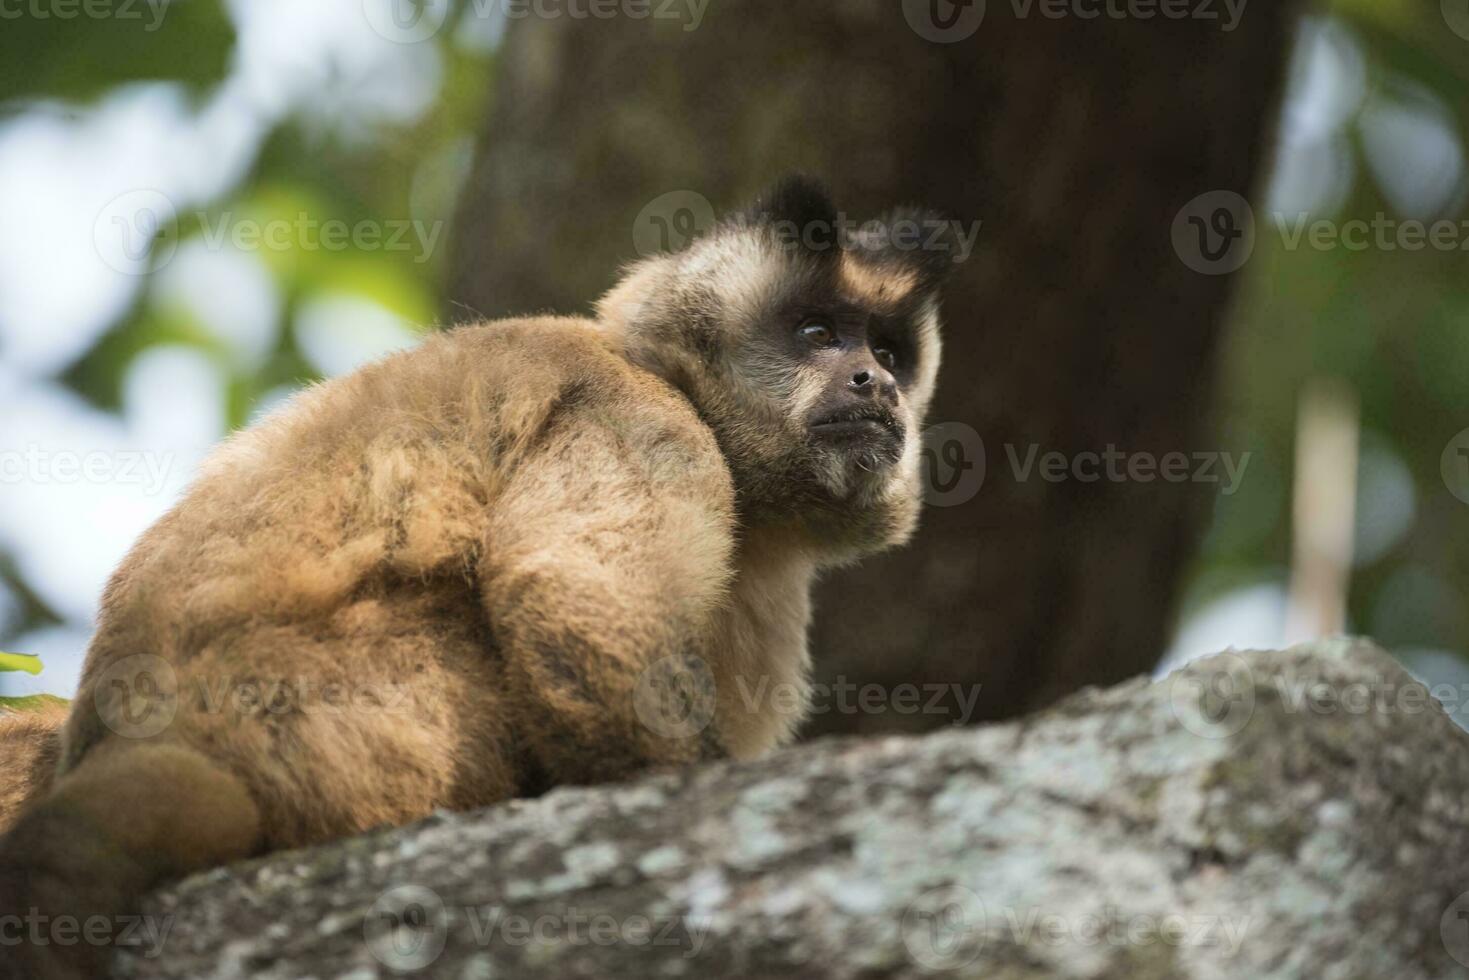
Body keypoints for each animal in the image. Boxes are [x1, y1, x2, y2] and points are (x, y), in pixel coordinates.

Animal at [0, 178, 951, 980]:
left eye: (888, 351)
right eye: (817, 335)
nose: (875, 385)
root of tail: (143, 726)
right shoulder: (638, 416)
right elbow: (567, 597)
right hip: (338, 722)